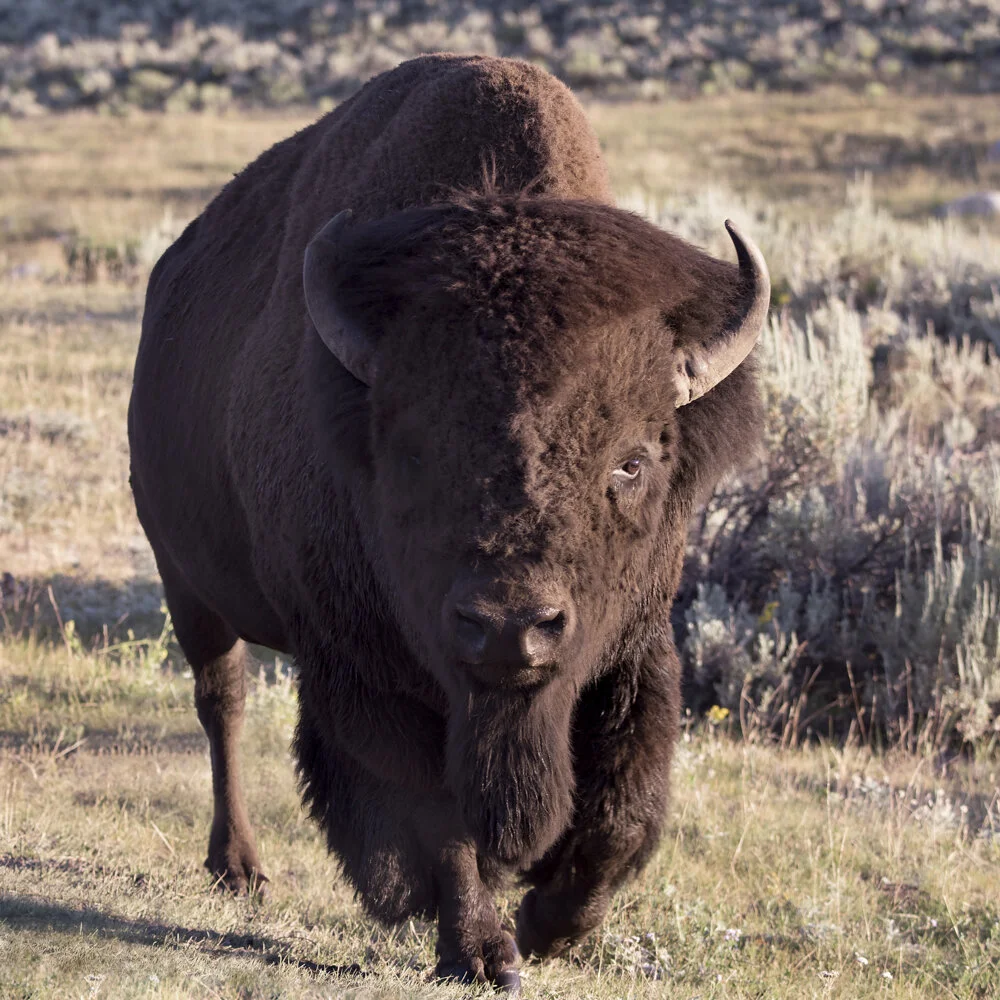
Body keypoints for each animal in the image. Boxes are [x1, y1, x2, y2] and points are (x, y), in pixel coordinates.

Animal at [128, 53, 768, 992]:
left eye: (632, 461)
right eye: (414, 451)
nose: (509, 628)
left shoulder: (631, 650)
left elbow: (620, 810)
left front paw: (549, 926)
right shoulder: (371, 672)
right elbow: (435, 817)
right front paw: (482, 950)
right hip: (189, 585)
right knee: (224, 703)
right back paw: (238, 868)